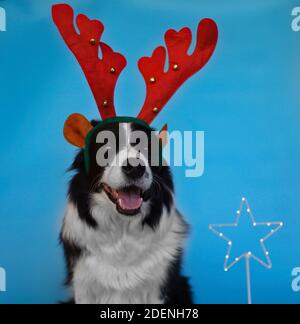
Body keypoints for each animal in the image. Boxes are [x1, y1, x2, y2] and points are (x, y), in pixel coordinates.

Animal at [60, 119, 192, 304]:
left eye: (147, 148)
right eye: (106, 146)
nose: (135, 168)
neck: (123, 231)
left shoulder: (158, 287)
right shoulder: (84, 285)